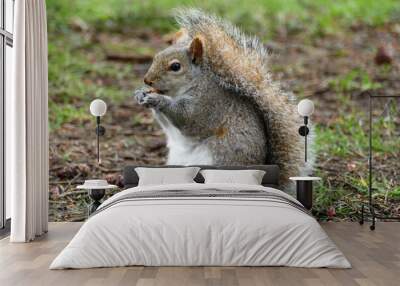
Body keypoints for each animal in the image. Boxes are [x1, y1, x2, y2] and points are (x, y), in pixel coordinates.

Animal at [134, 8, 306, 188]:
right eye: (156, 56)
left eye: (175, 66)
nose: (147, 80)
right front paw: (141, 93)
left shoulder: (206, 105)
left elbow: (186, 117)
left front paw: (157, 100)